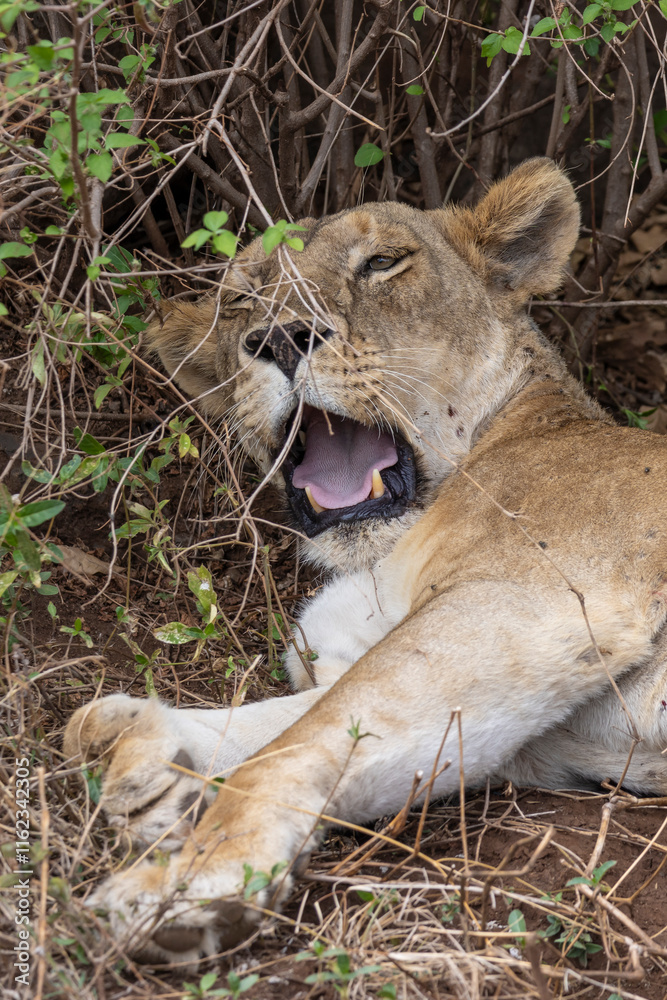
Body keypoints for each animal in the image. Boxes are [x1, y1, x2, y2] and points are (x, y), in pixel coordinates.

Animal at [64, 159, 667, 963]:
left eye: (381, 263)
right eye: (240, 298)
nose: (281, 338)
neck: (381, 556)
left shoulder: (530, 599)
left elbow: (289, 747)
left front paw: (190, 881)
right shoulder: (522, 730)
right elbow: (274, 724)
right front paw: (146, 758)